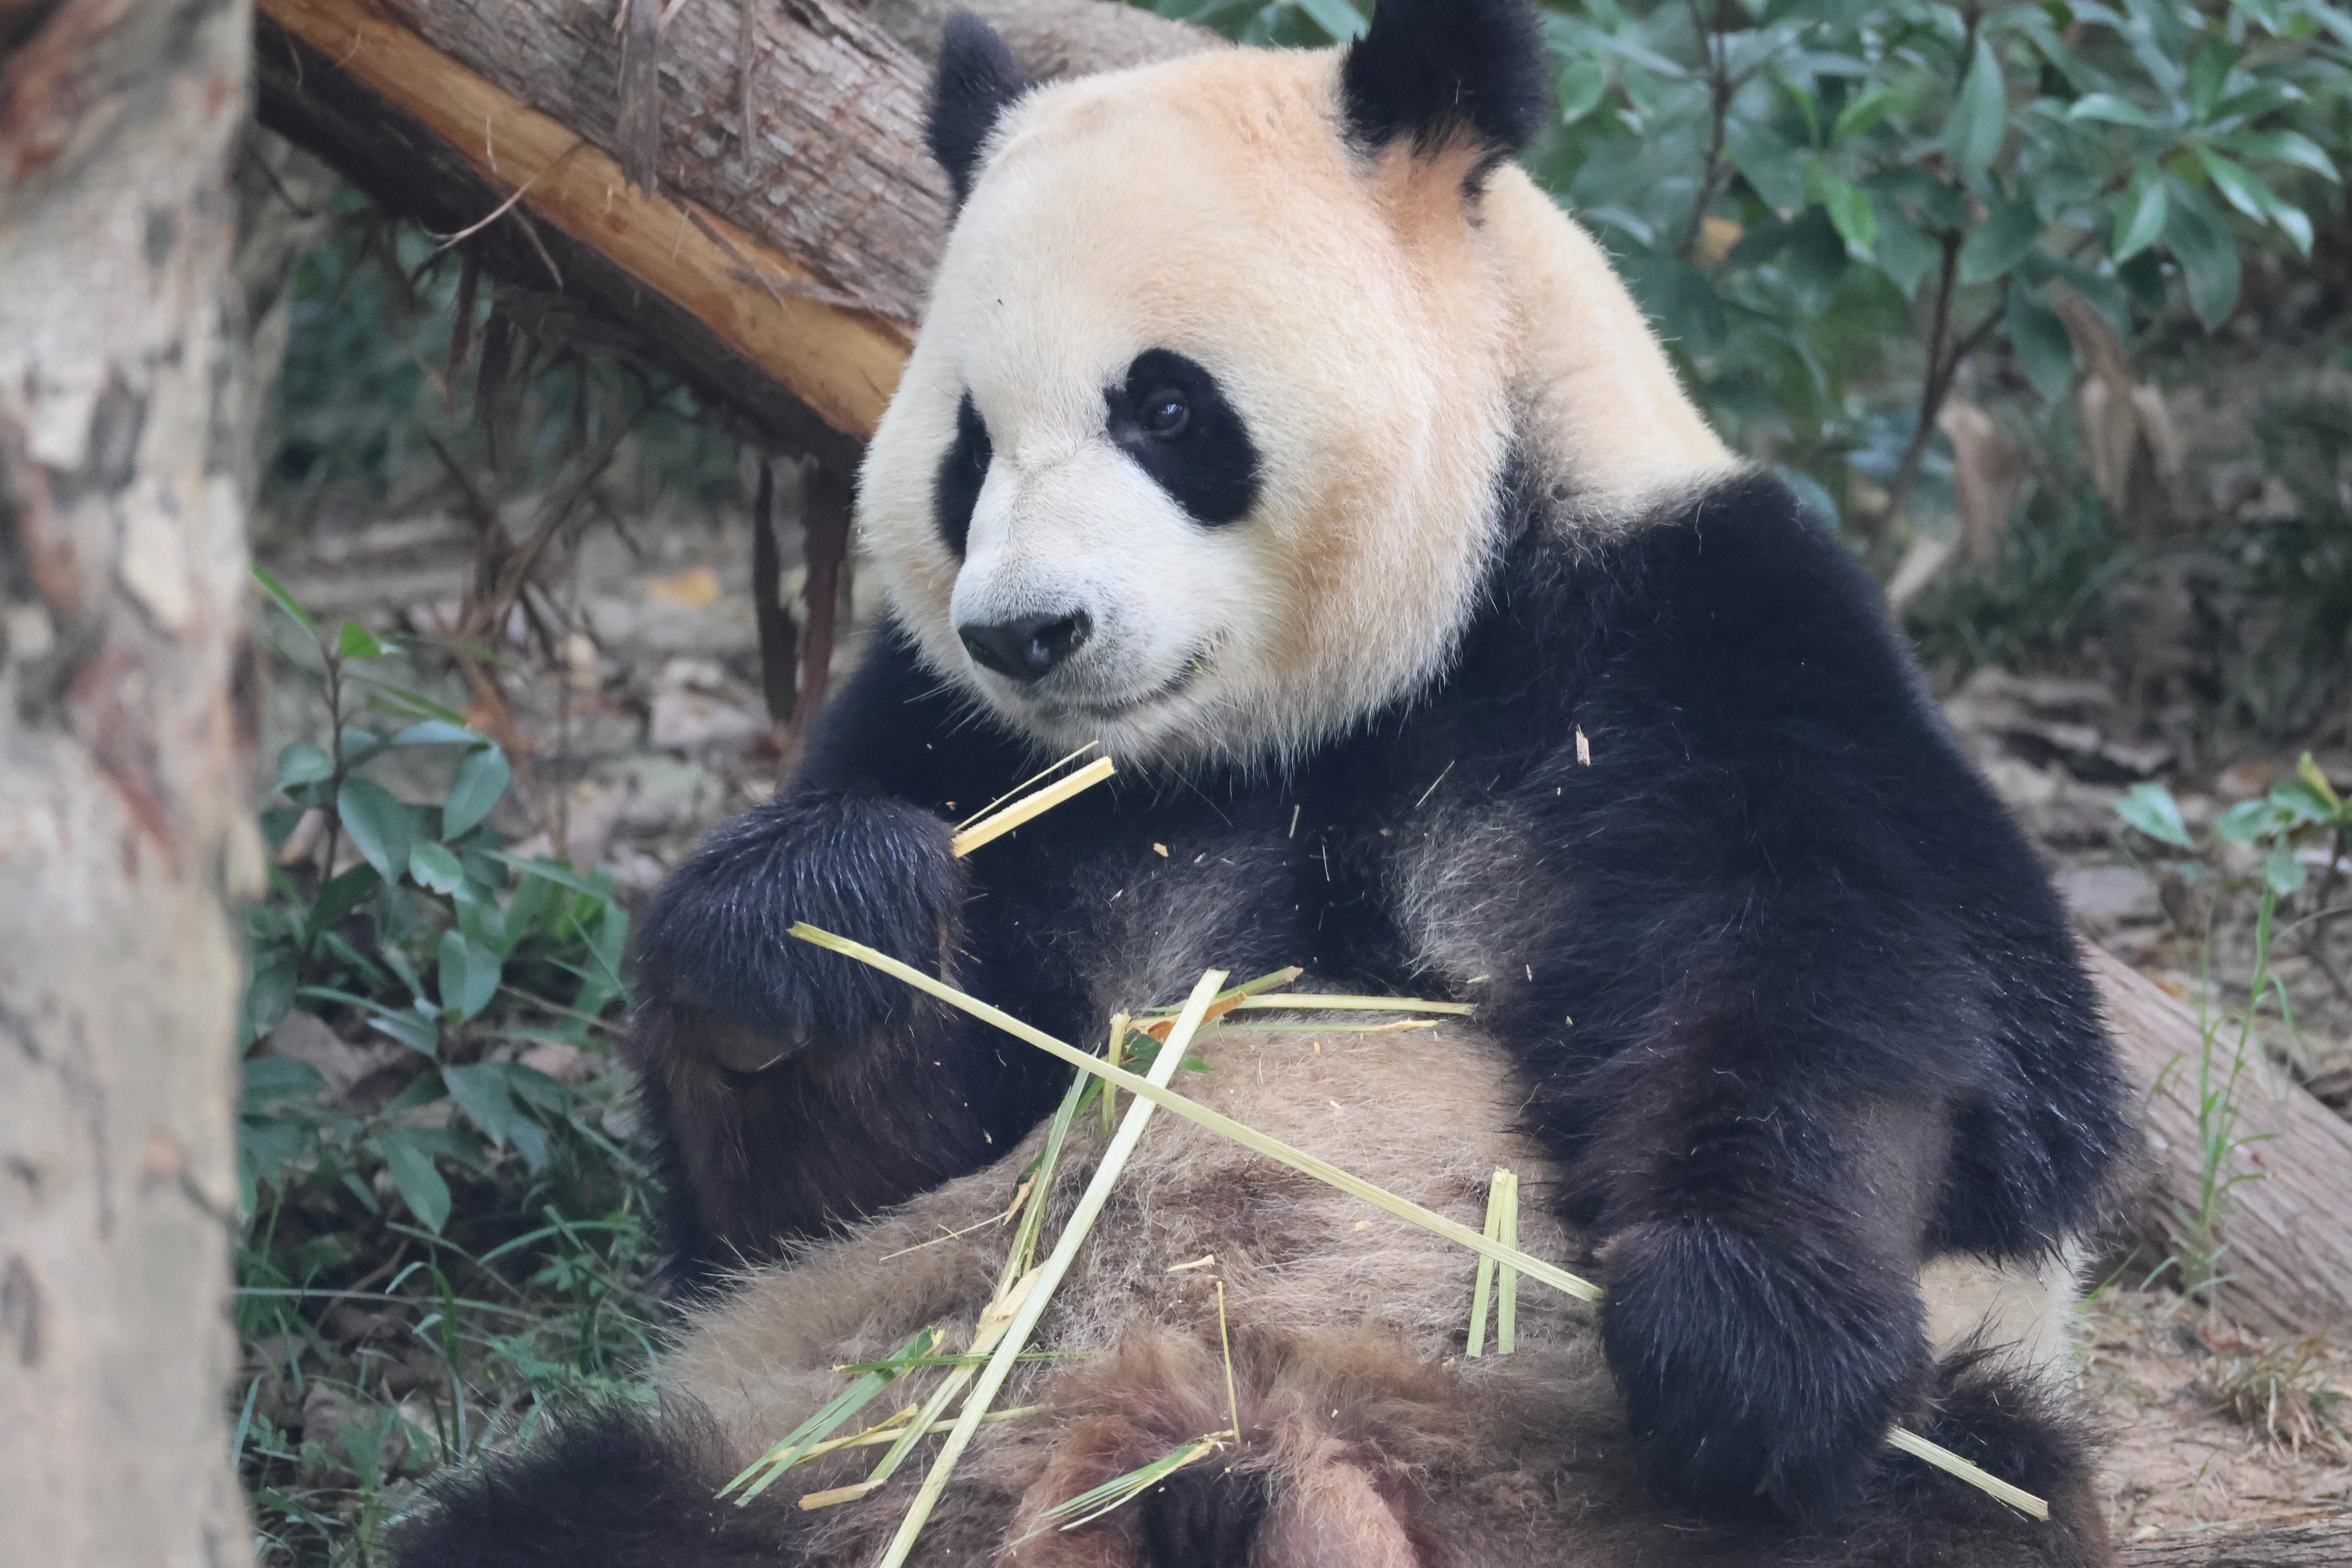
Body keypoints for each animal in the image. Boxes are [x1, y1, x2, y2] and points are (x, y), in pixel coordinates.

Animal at [390, 1, 2130, 1563]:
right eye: (967, 450)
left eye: (1165, 406)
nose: (1026, 633)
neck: (1299, 728)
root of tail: (1220, 1441)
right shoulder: (944, 733)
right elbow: (802, 1200)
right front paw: (808, 925)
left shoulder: (1690, 630)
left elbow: (1878, 987)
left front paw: (1748, 1333)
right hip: (823, 1461)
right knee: (562, 1522)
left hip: (1694, 1474)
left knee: (1934, 1499)